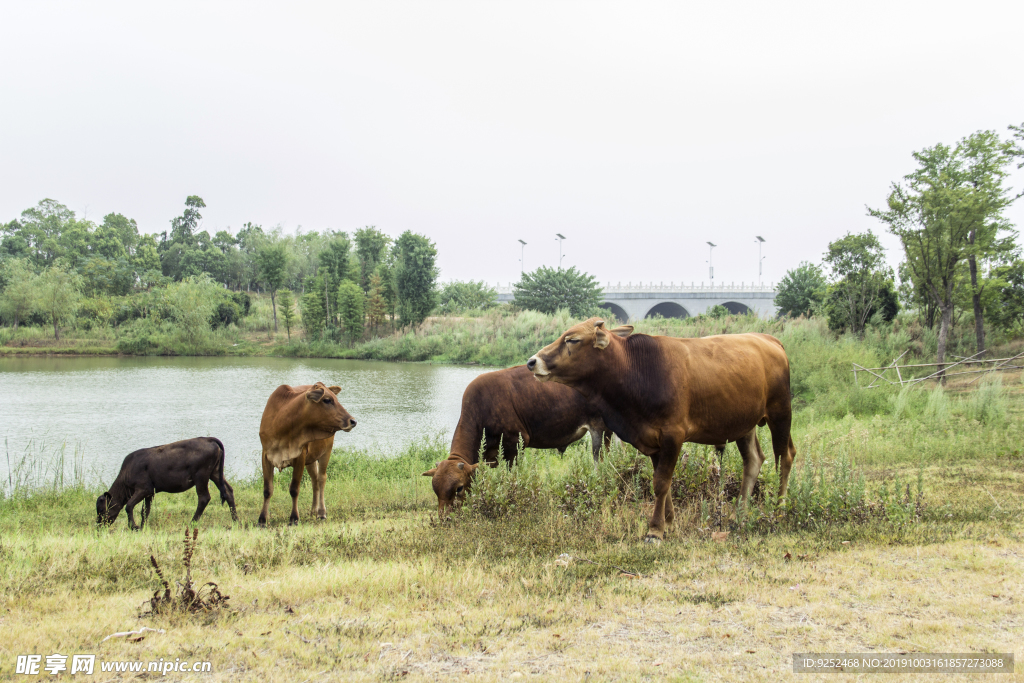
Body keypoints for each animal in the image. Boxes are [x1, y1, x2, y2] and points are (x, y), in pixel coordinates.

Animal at [96, 440, 237, 532]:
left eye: (101, 510)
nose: (98, 526)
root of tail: (207, 439)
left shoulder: (143, 488)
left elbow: (129, 505)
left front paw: (134, 527)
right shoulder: (149, 492)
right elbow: (145, 510)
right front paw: (143, 527)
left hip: (201, 476)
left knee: (204, 498)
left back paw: (192, 523)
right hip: (215, 473)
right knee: (228, 491)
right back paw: (236, 521)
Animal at [258, 382, 358, 528]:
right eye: (327, 400)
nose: (352, 421)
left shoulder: (300, 456)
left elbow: (294, 489)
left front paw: (294, 518)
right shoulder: (266, 455)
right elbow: (267, 490)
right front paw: (262, 519)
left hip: (326, 452)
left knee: (321, 479)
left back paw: (321, 512)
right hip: (311, 460)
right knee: (314, 480)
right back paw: (313, 510)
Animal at [417, 366, 610, 516]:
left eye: (459, 488)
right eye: (435, 489)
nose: (444, 518)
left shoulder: (516, 443)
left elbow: (512, 477)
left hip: (600, 429)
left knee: (601, 461)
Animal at [532, 317, 794, 540]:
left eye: (572, 340)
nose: (532, 361)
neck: (636, 370)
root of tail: (770, 339)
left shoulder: (672, 436)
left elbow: (661, 483)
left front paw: (655, 530)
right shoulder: (653, 440)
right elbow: (662, 483)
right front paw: (669, 521)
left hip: (780, 413)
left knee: (785, 456)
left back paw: (779, 509)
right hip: (744, 424)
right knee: (753, 460)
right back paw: (738, 515)